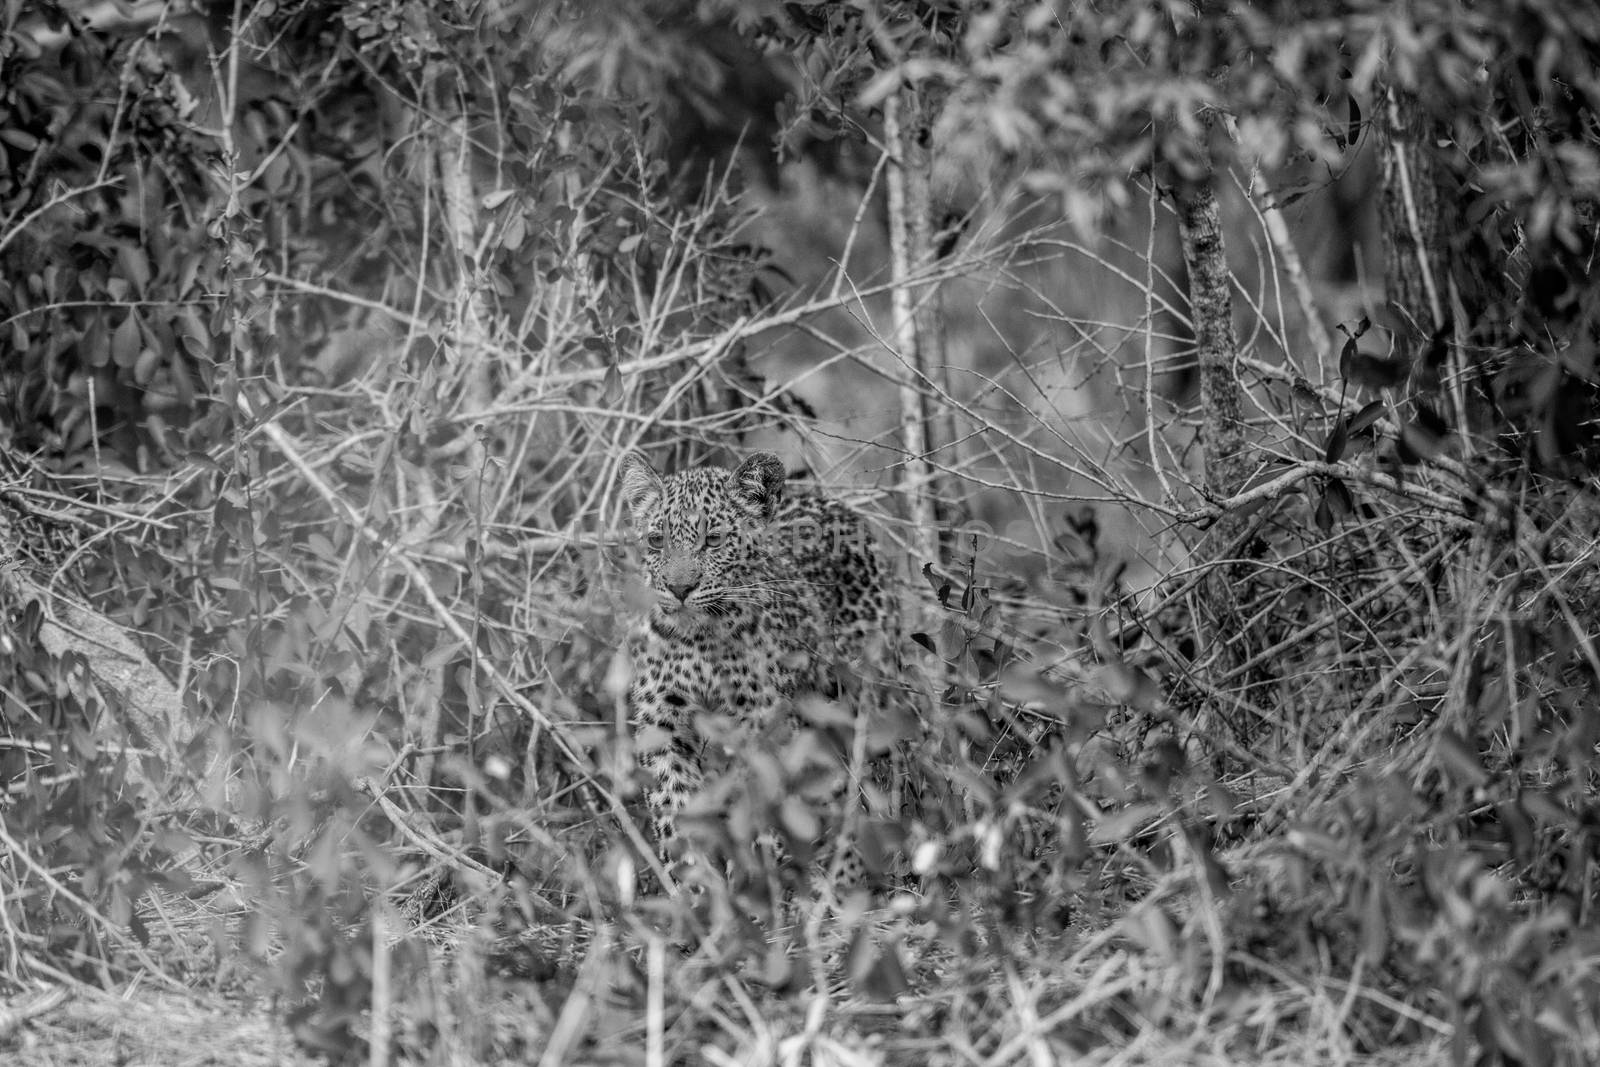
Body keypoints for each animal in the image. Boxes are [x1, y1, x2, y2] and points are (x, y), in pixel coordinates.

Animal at [614, 447, 902, 883]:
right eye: (656, 540)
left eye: (713, 540)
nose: (679, 589)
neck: (698, 638)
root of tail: (835, 505)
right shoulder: (662, 721)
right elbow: (675, 806)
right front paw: (696, 883)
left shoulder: (762, 720)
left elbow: (761, 802)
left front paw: (759, 875)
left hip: (868, 694)